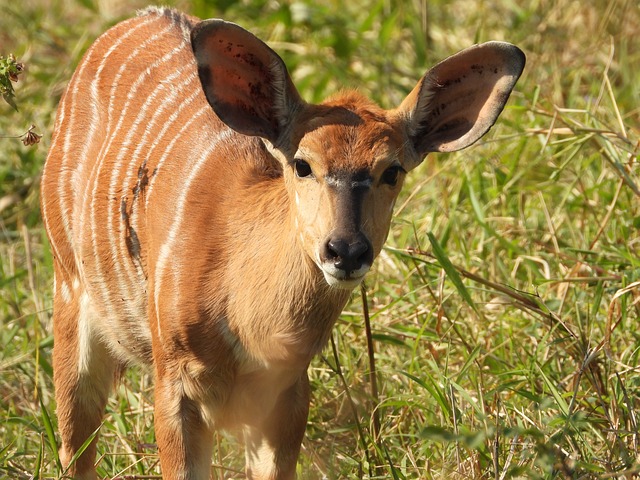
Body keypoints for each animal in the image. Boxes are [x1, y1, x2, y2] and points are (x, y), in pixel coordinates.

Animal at [40, 6, 524, 480]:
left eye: (393, 170)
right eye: (303, 164)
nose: (345, 250)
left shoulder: (288, 393)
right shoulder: (174, 380)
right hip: (68, 288)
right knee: (74, 443)